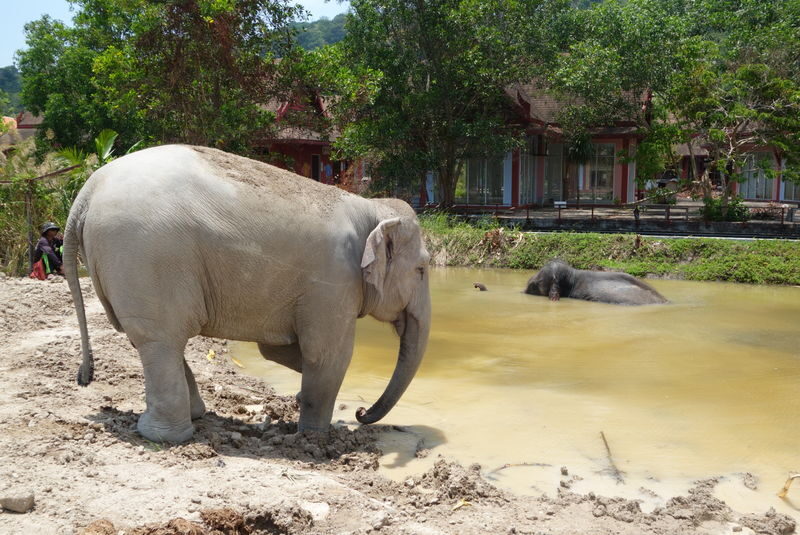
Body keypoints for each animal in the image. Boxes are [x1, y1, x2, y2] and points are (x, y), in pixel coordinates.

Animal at [63, 144, 431, 443]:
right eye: (422, 269)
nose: (360, 414)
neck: (370, 208)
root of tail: (89, 188)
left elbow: (281, 350)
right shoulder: (334, 280)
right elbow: (327, 355)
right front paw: (314, 438)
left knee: (154, 340)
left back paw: (194, 415)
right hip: (146, 256)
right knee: (160, 339)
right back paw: (166, 436)